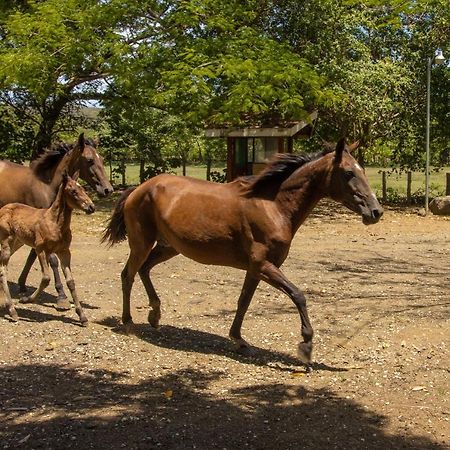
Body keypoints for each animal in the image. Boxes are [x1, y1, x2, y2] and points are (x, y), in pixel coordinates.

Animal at [0, 134, 112, 308]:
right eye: (89, 160)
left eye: (103, 158)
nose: (108, 189)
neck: (46, 186)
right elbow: (52, 260)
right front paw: (61, 296)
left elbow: (33, 254)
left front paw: (22, 284)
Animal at [0, 174, 95, 326]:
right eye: (73, 191)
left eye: (83, 188)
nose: (91, 207)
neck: (55, 223)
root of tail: (3, 209)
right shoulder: (41, 249)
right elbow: (46, 278)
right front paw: (26, 299)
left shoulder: (64, 251)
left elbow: (70, 281)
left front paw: (82, 316)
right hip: (7, 241)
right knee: (3, 270)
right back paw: (12, 311)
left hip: (17, 242)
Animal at [103, 139, 384, 368]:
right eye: (348, 172)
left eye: (362, 170)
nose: (376, 212)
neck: (273, 207)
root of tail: (139, 188)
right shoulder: (263, 265)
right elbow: (298, 295)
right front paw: (306, 346)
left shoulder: (255, 269)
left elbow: (243, 302)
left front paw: (238, 340)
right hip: (142, 243)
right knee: (127, 275)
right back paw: (128, 322)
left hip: (168, 247)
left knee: (144, 269)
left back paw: (155, 314)